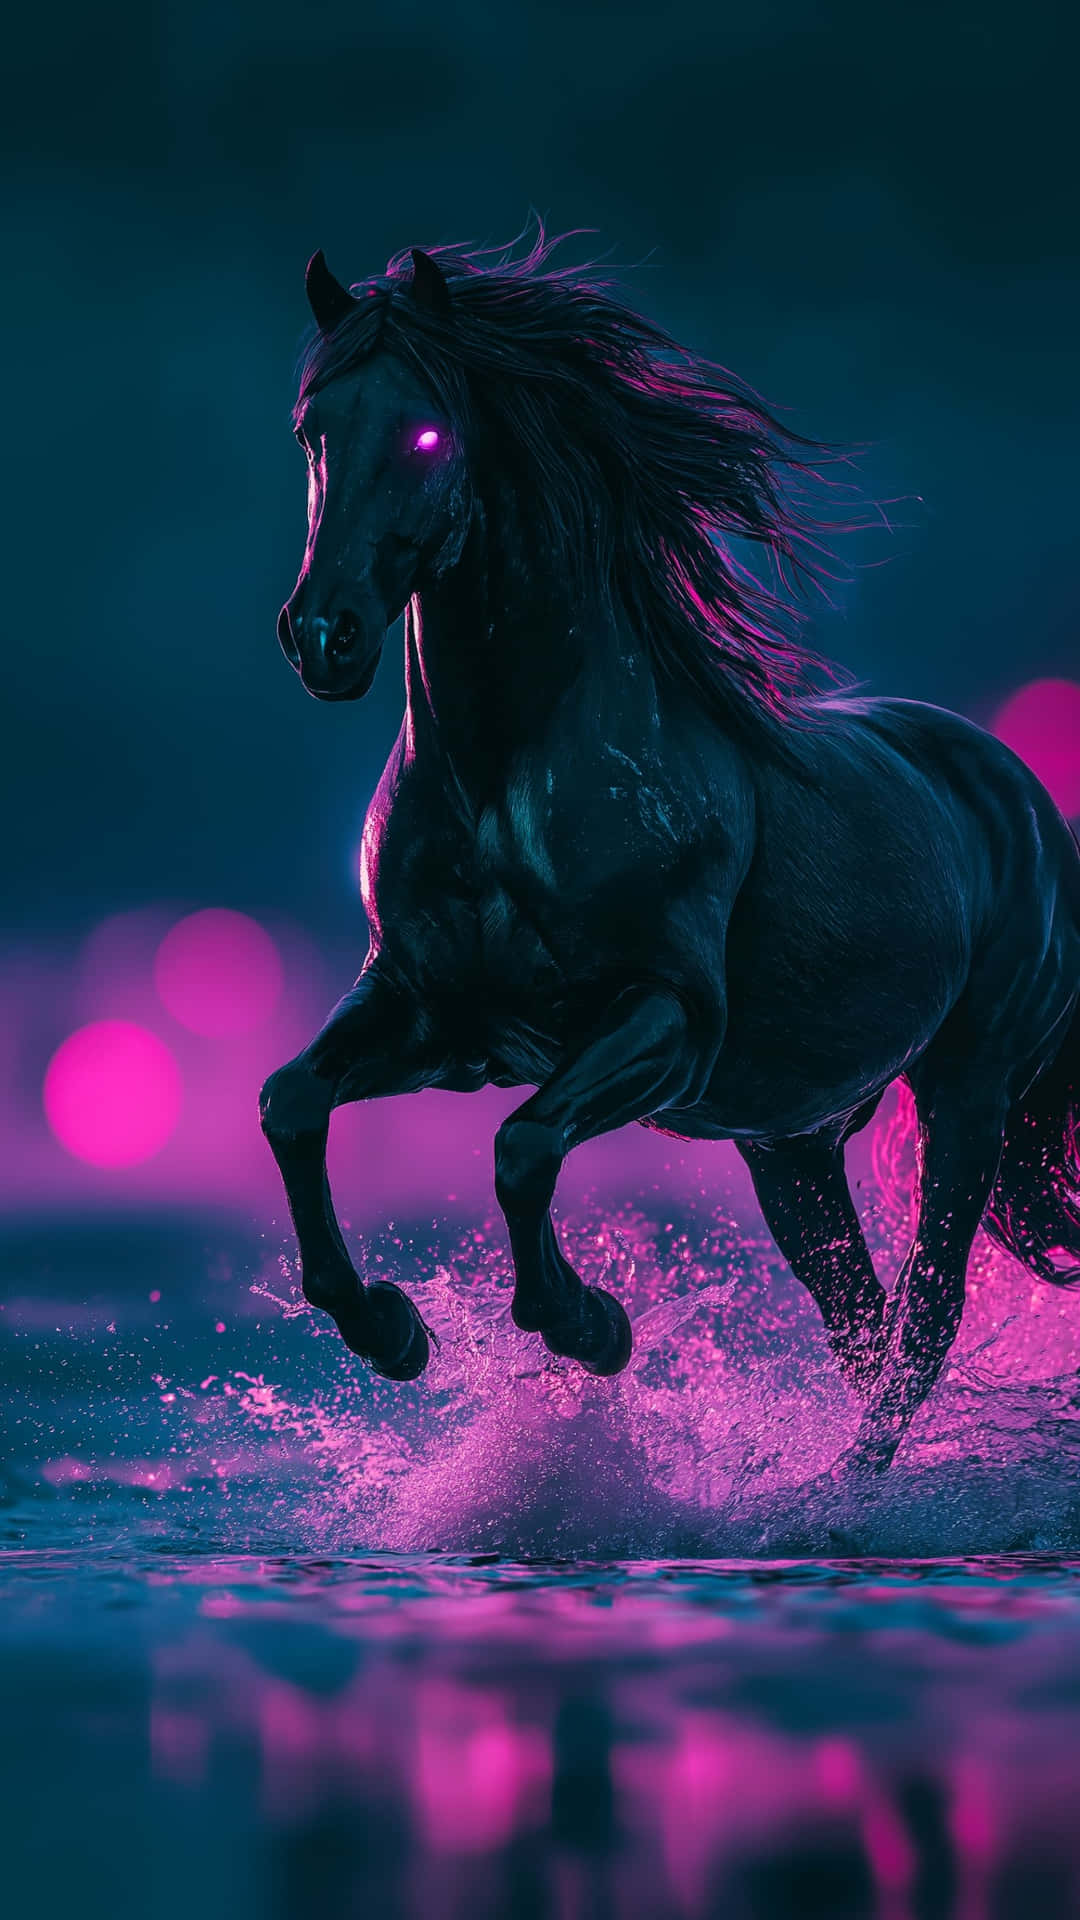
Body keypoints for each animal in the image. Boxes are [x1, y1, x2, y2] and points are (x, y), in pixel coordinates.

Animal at [260, 229, 1080, 1477]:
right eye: (313, 426)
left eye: (426, 433)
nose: (323, 638)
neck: (506, 781)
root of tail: (1021, 795)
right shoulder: (429, 1013)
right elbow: (292, 1104)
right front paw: (391, 1332)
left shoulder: (664, 1021)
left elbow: (523, 1146)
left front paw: (591, 1327)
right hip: (791, 1148)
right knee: (865, 1324)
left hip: (968, 1095)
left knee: (921, 1324)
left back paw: (844, 1492)